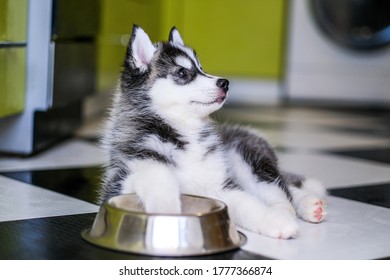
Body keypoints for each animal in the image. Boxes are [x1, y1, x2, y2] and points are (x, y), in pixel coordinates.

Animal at [100, 25, 326, 238]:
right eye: (182, 73)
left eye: (201, 68)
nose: (225, 83)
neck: (185, 130)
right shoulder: (119, 181)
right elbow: (158, 174)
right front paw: (168, 210)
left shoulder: (221, 186)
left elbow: (250, 205)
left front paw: (275, 220)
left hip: (247, 160)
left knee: (280, 189)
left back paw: (298, 207)